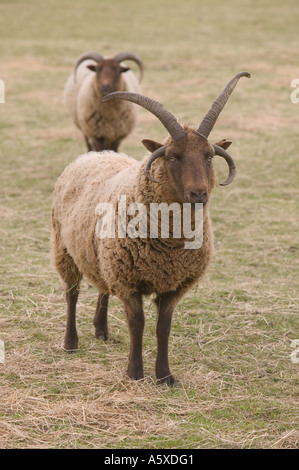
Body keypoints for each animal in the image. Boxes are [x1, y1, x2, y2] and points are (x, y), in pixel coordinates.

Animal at [52, 70, 251, 386]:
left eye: (209, 155)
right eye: (172, 156)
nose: (199, 194)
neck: (170, 245)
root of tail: (95, 154)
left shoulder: (173, 286)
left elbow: (163, 327)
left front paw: (165, 376)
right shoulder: (129, 282)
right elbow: (138, 324)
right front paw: (135, 373)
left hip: (102, 257)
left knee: (103, 288)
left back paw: (101, 330)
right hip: (64, 248)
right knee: (72, 293)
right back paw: (71, 343)